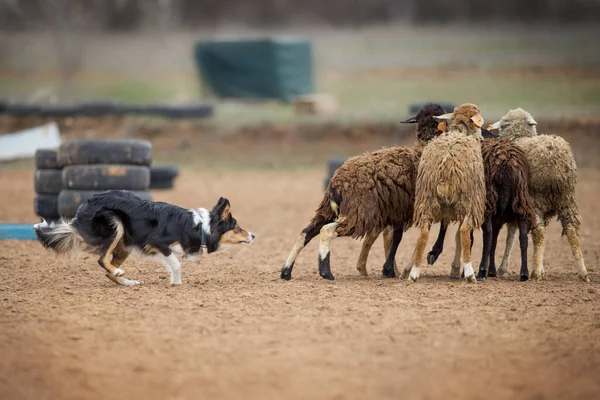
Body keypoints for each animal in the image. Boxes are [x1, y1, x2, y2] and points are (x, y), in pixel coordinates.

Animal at [33, 190, 253, 286]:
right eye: (237, 227)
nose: (253, 235)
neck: (201, 227)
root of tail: (84, 206)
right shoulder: (158, 243)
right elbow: (176, 264)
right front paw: (176, 283)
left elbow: (174, 262)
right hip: (115, 225)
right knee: (102, 259)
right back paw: (120, 273)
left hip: (125, 245)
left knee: (107, 270)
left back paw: (127, 282)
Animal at [282, 102, 446, 282]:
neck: (425, 145)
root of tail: (336, 184)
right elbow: (439, 227)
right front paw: (432, 254)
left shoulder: (398, 209)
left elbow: (396, 237)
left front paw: (389, 269)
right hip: (360, 213)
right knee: (326, 231)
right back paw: (326, 272)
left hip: (329, 211)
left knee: (306, 232)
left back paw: (286, 271)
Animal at [404, 104, 488, 282]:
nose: (482, 139)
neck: (461, 131)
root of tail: (447, 164)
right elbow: (460, 236)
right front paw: (458, 269)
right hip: (469, 199)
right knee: (464, 231)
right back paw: (469, 273)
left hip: (427, 199)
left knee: (423, 234)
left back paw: (414, 272)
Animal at [488, 107, 592, 282]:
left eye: (503, 125)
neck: (520, 136)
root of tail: (553, 159)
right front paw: (540, 267)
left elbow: (512, 235)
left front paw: (503, 268)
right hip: (567, 199)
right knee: (571, 231)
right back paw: (583, 272)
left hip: (536, 200)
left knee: (540, 232)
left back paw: (535, 274)